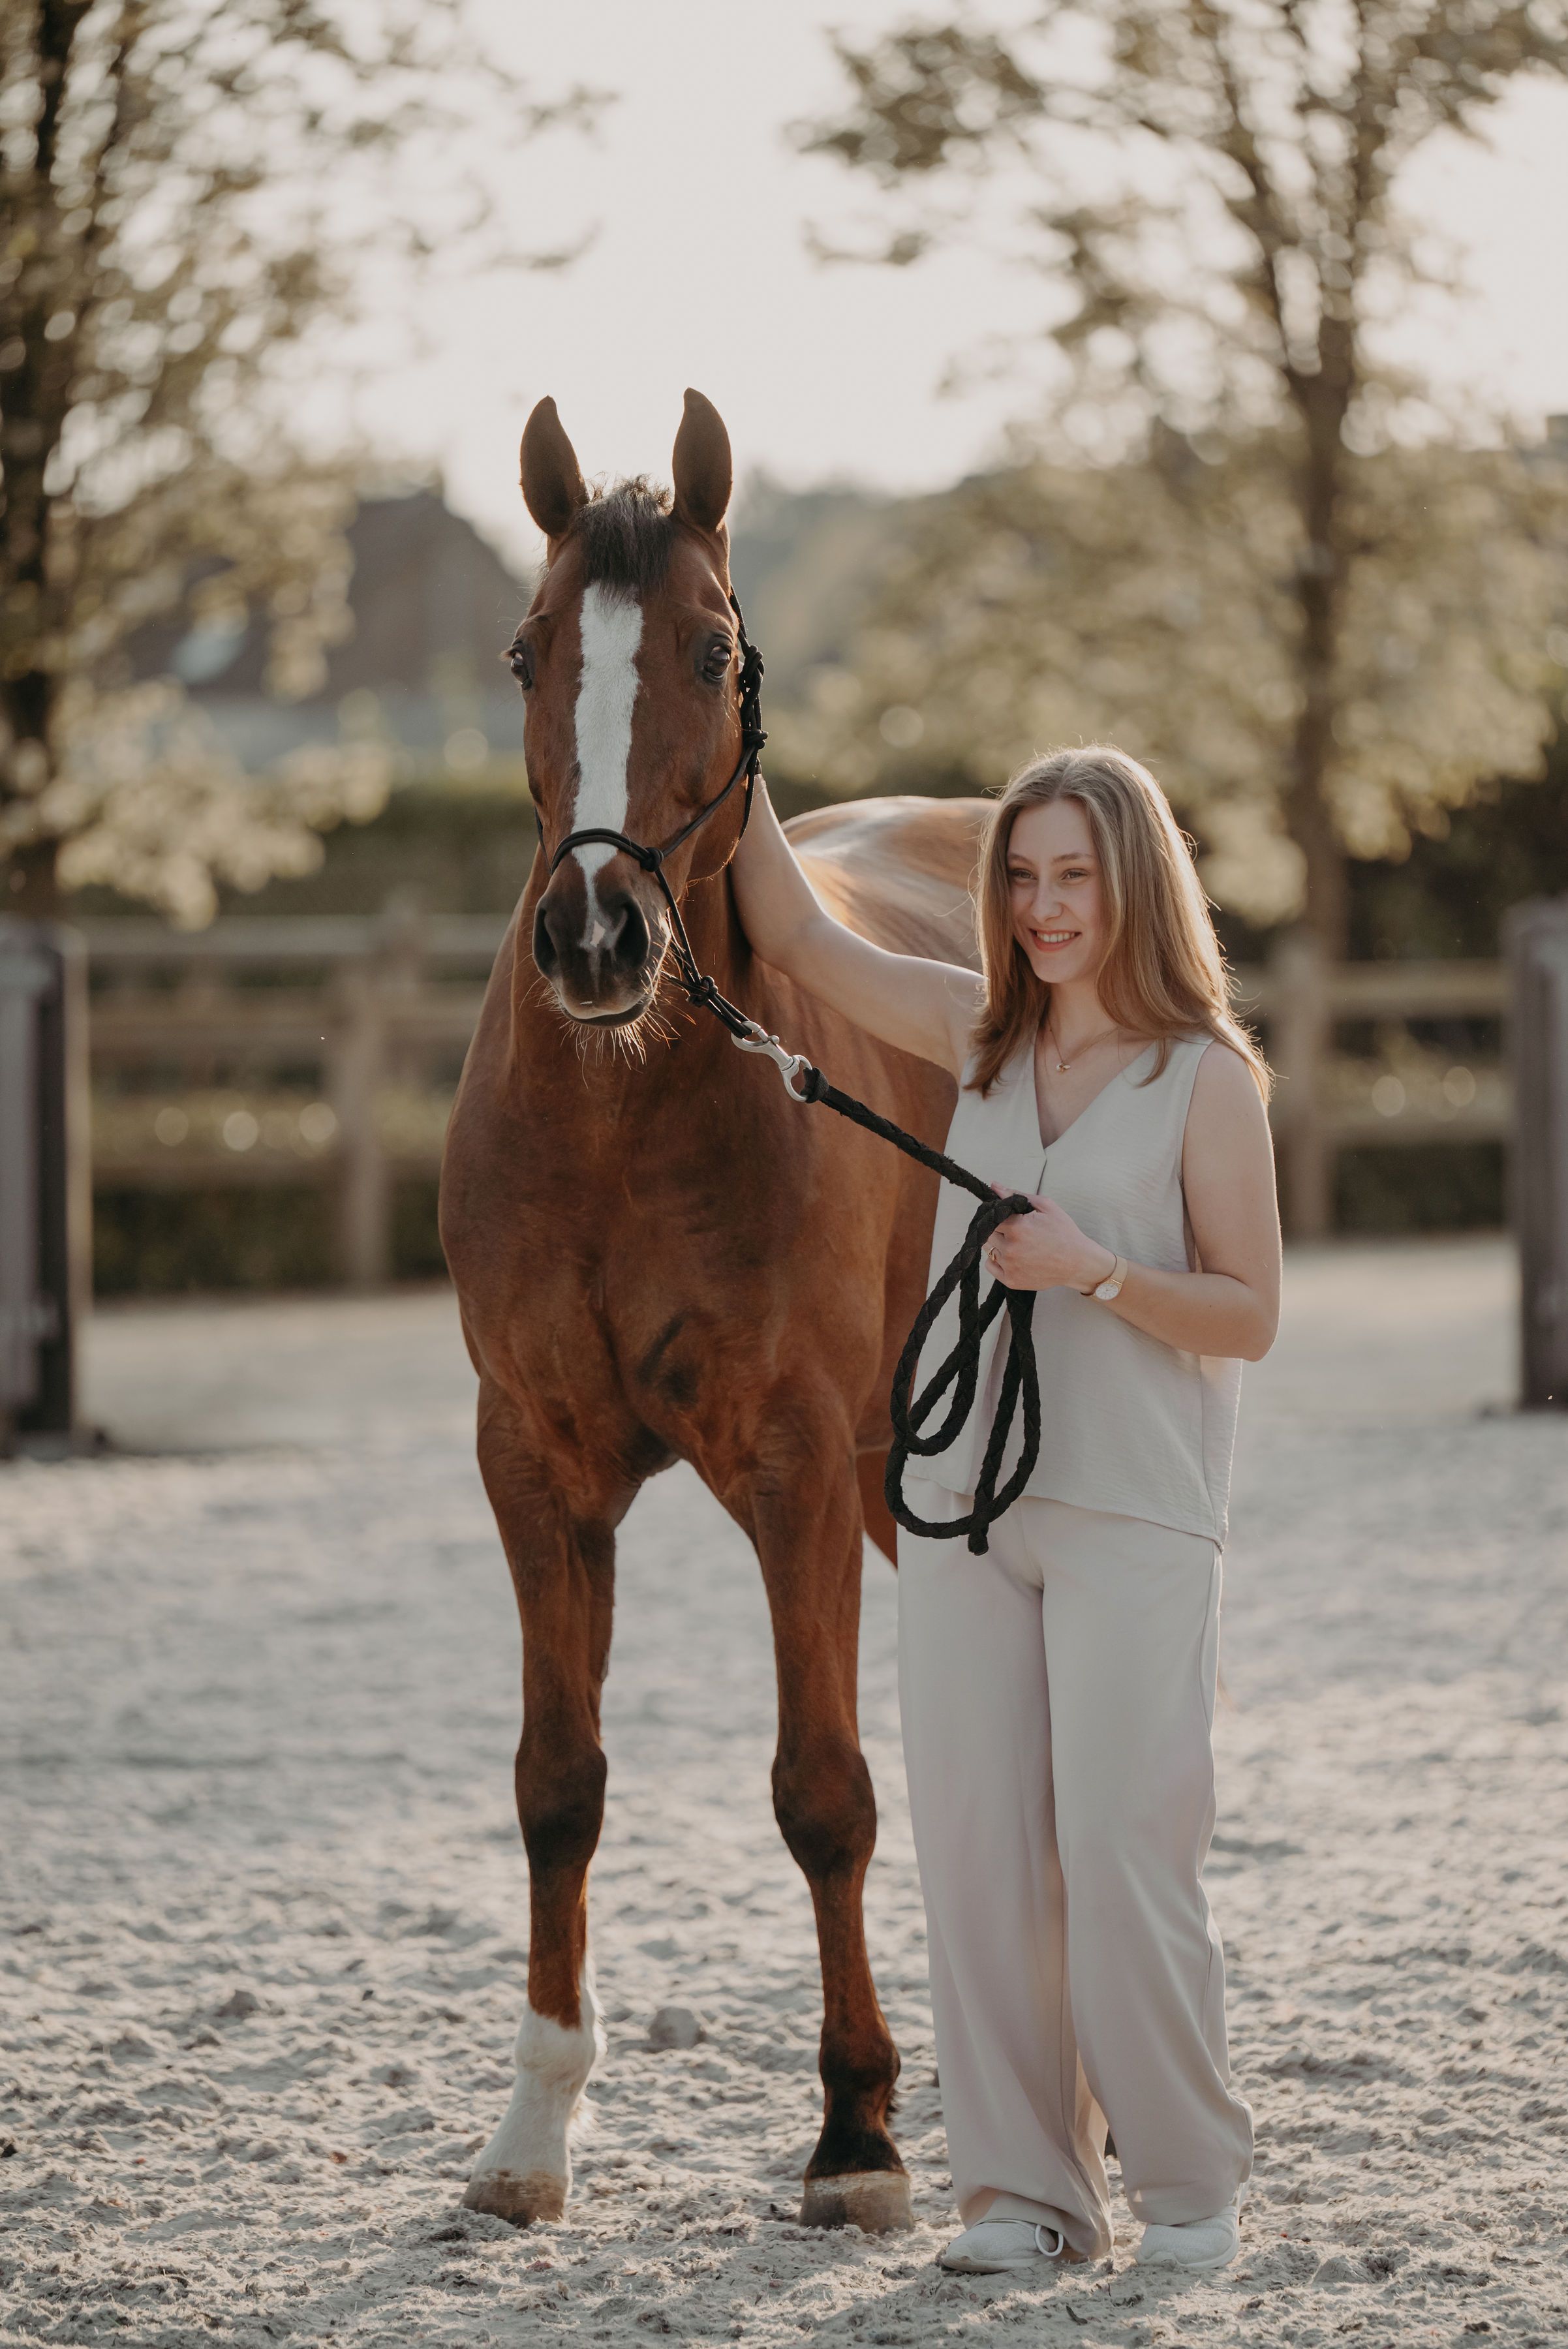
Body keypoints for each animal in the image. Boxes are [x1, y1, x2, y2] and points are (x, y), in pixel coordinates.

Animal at [438, 388, 986, 2235]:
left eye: (710, 647)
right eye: (527, 651)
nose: (598, 936)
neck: (626, 1111)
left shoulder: (797, 1466)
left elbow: (823, 1792)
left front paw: (856, 2134)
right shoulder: (533, 1467)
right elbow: (557, 1786)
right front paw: (532, 2132)